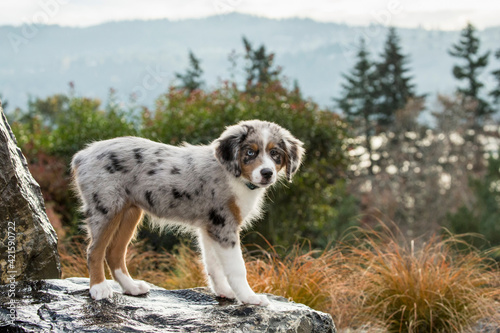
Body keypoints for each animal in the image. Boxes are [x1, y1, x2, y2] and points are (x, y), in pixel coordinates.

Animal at [70, 118, 304, 304]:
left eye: (275, 154)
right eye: (250, 152)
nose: (267, 173)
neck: (233, 175)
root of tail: (82, 155)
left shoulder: (211, 227)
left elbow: (213, 264)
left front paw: (223, 292)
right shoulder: (224, 225)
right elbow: (237, 267)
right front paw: (250, 298)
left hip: (129, 212)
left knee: (114, 252)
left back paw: (132, 287)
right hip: (106, 207)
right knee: (94, 250)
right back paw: (99, 288)